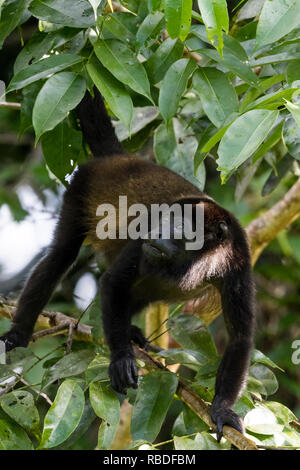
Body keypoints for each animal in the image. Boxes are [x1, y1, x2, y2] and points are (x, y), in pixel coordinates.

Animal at [0, 87, 255, 440]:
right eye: (162, 217)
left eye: (178, 226)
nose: (157, 232)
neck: (202, 261)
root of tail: (121, 158)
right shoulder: (140, 240)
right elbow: (113, 282)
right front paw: (121, 358)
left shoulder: (239, 264)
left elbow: (240, 336)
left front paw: (224, 410)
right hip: (82, 185)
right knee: (61, 255)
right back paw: (19, 334)